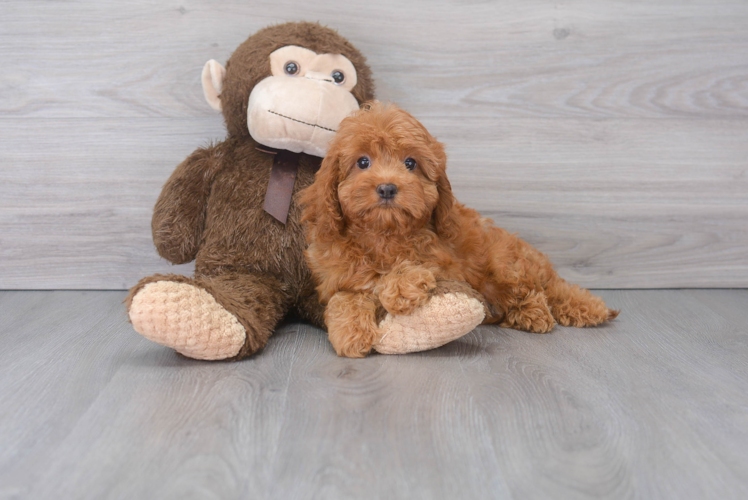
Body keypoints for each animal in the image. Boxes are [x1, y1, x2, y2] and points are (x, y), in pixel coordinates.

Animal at [300, 102, 620, 360]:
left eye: (410, 163)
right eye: (362, 162)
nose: (387, 188)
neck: (383, 233)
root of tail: (544, 268)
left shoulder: (446, 266)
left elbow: (401, 272)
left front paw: (401, 288)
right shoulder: (335, 280)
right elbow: (344, 298)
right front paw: (351, 332)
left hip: (506, 263)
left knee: (535, 292)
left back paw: (533, 313)